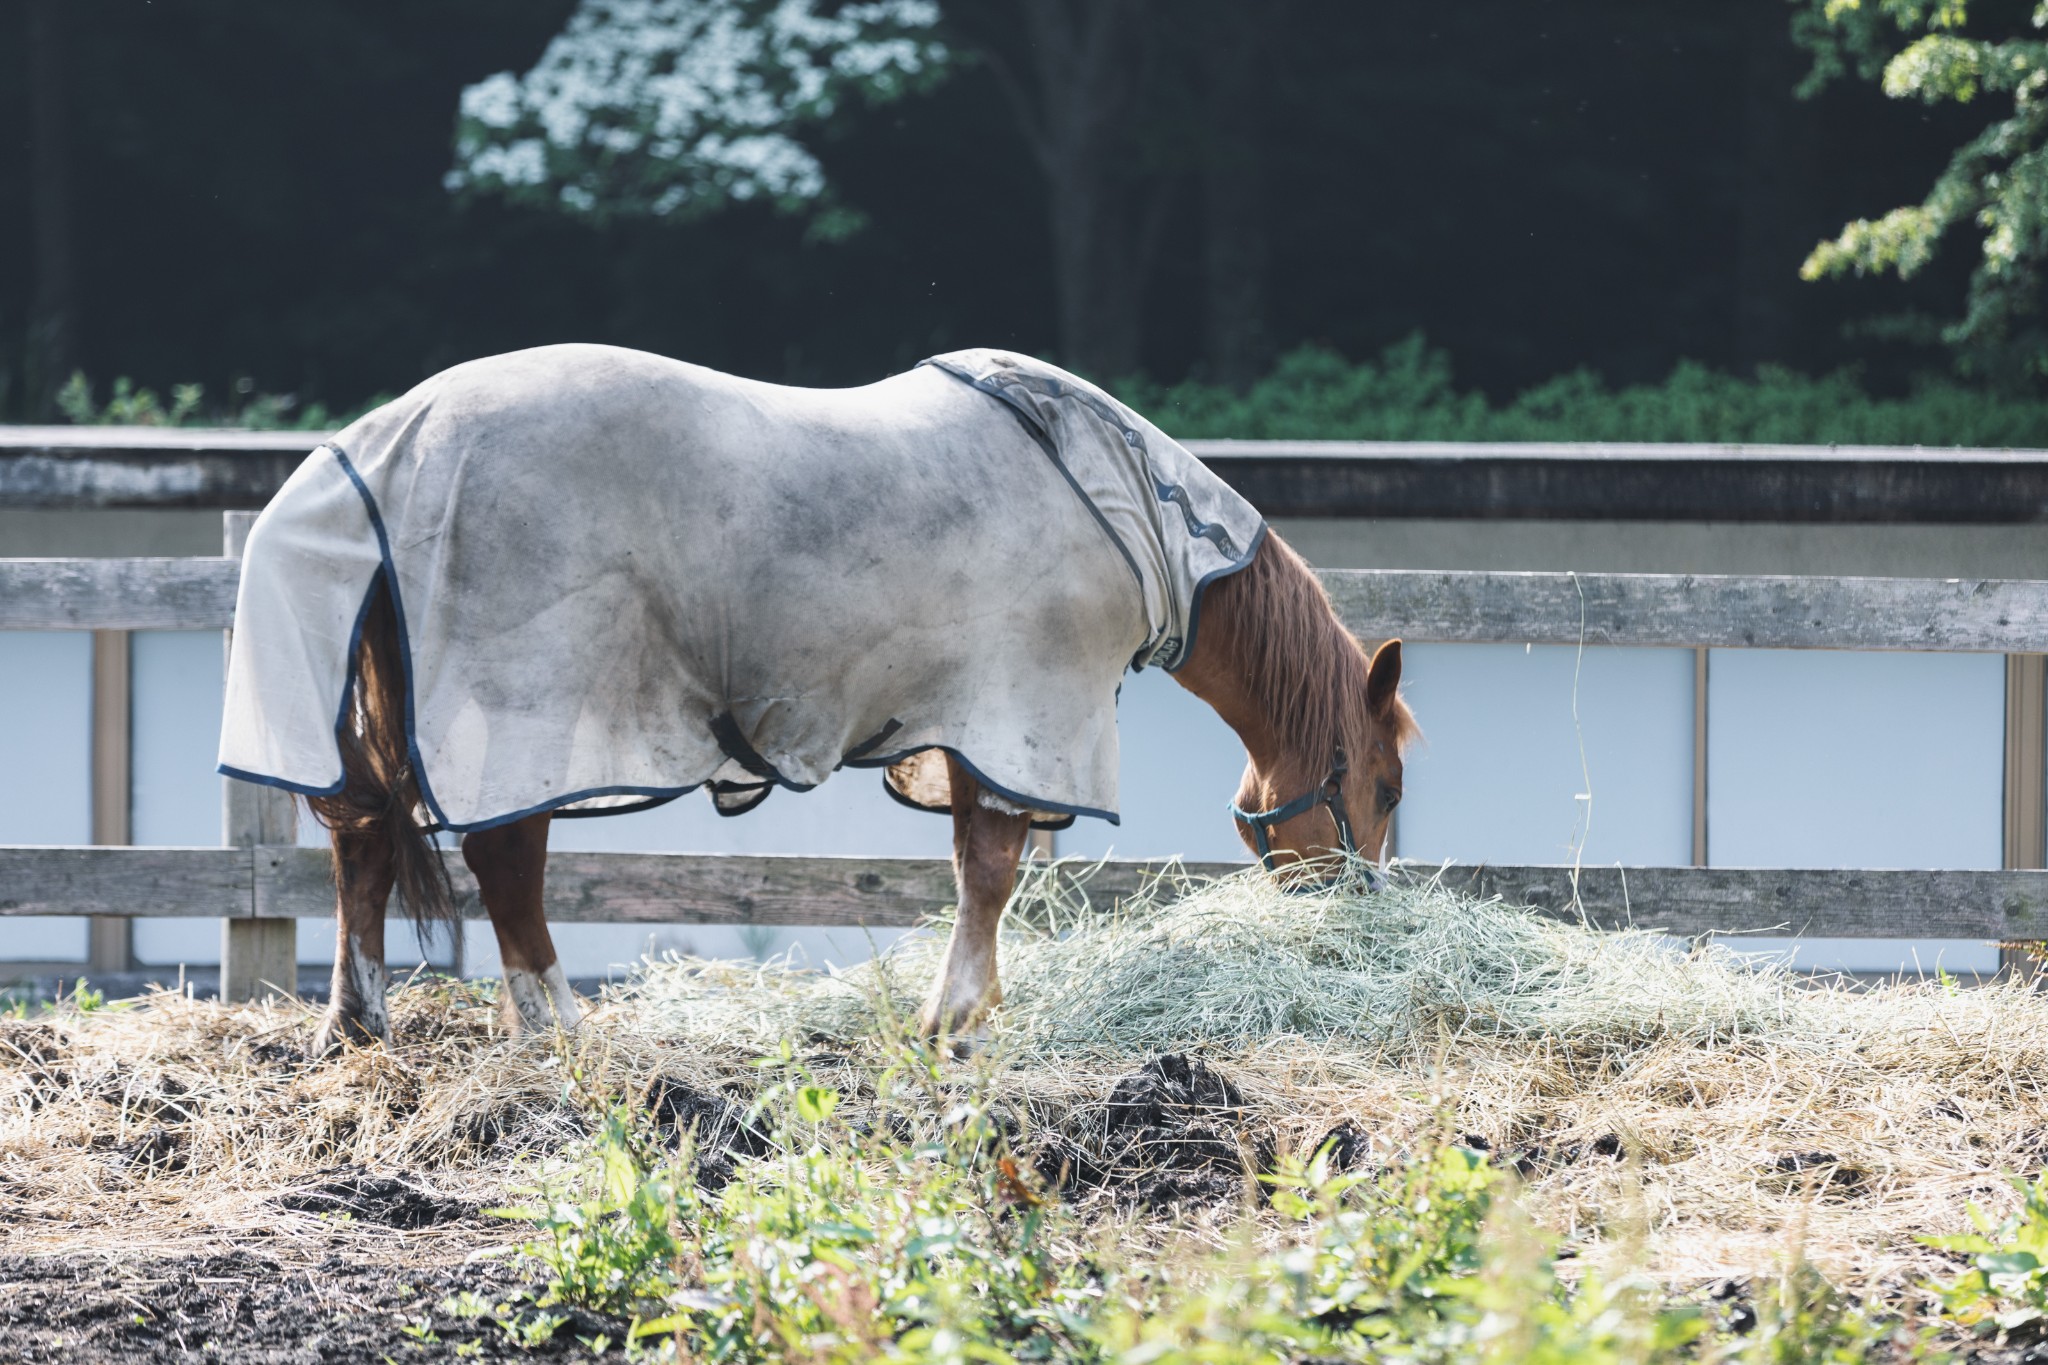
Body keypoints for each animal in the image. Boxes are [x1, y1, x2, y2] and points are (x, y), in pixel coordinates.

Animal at [216, 343, 1417, 1047]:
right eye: (1391, 785)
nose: (1360, 911)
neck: (1142, 519)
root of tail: (386, 445)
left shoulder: (959, 733)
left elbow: (974, 870)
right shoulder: (1018, 721)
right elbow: (991, 874)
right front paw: (957, 1021)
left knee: (362, 837)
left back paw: (360, 1020)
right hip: (531, 720)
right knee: (505, 858)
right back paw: (559, 1029)